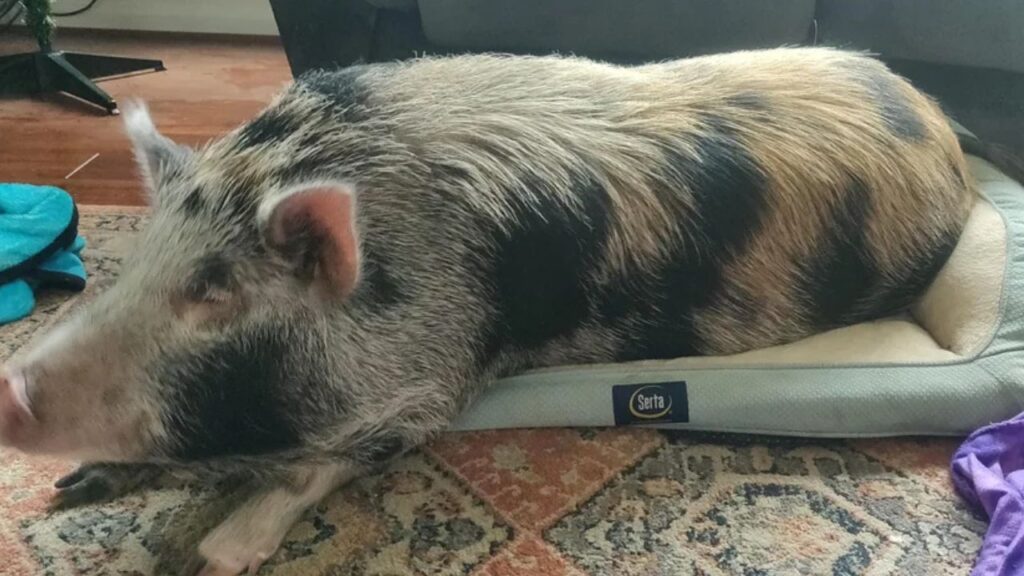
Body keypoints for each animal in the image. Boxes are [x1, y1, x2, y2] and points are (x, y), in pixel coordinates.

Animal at [0, 46, 987, 573]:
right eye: (135, 265)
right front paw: (71, 488)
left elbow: (321, 462)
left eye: (214, 291)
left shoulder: (436, 374)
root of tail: (941, 121)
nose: (12, 392)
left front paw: (213, 554)